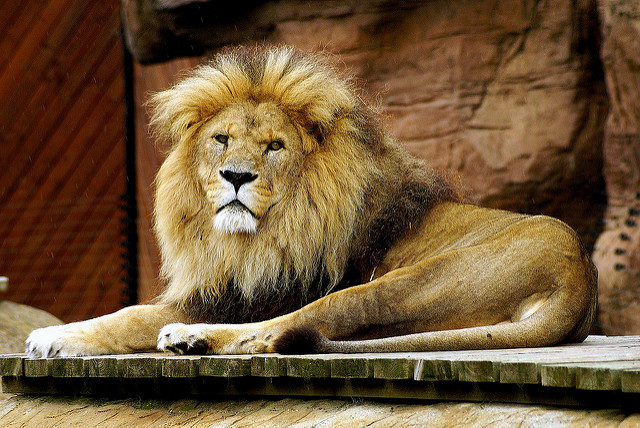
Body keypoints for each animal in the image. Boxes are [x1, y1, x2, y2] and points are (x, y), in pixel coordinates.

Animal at [23, 46, 596, 358]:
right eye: (221, 140)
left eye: (275, 146)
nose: (236, 176)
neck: (260, 236)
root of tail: (577, 281)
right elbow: (127, 313)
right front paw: (58, 334)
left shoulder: (259, 293)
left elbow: (135, 314)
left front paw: (53, 336)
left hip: (403, 283)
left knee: (293, 327)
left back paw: (191, 336)